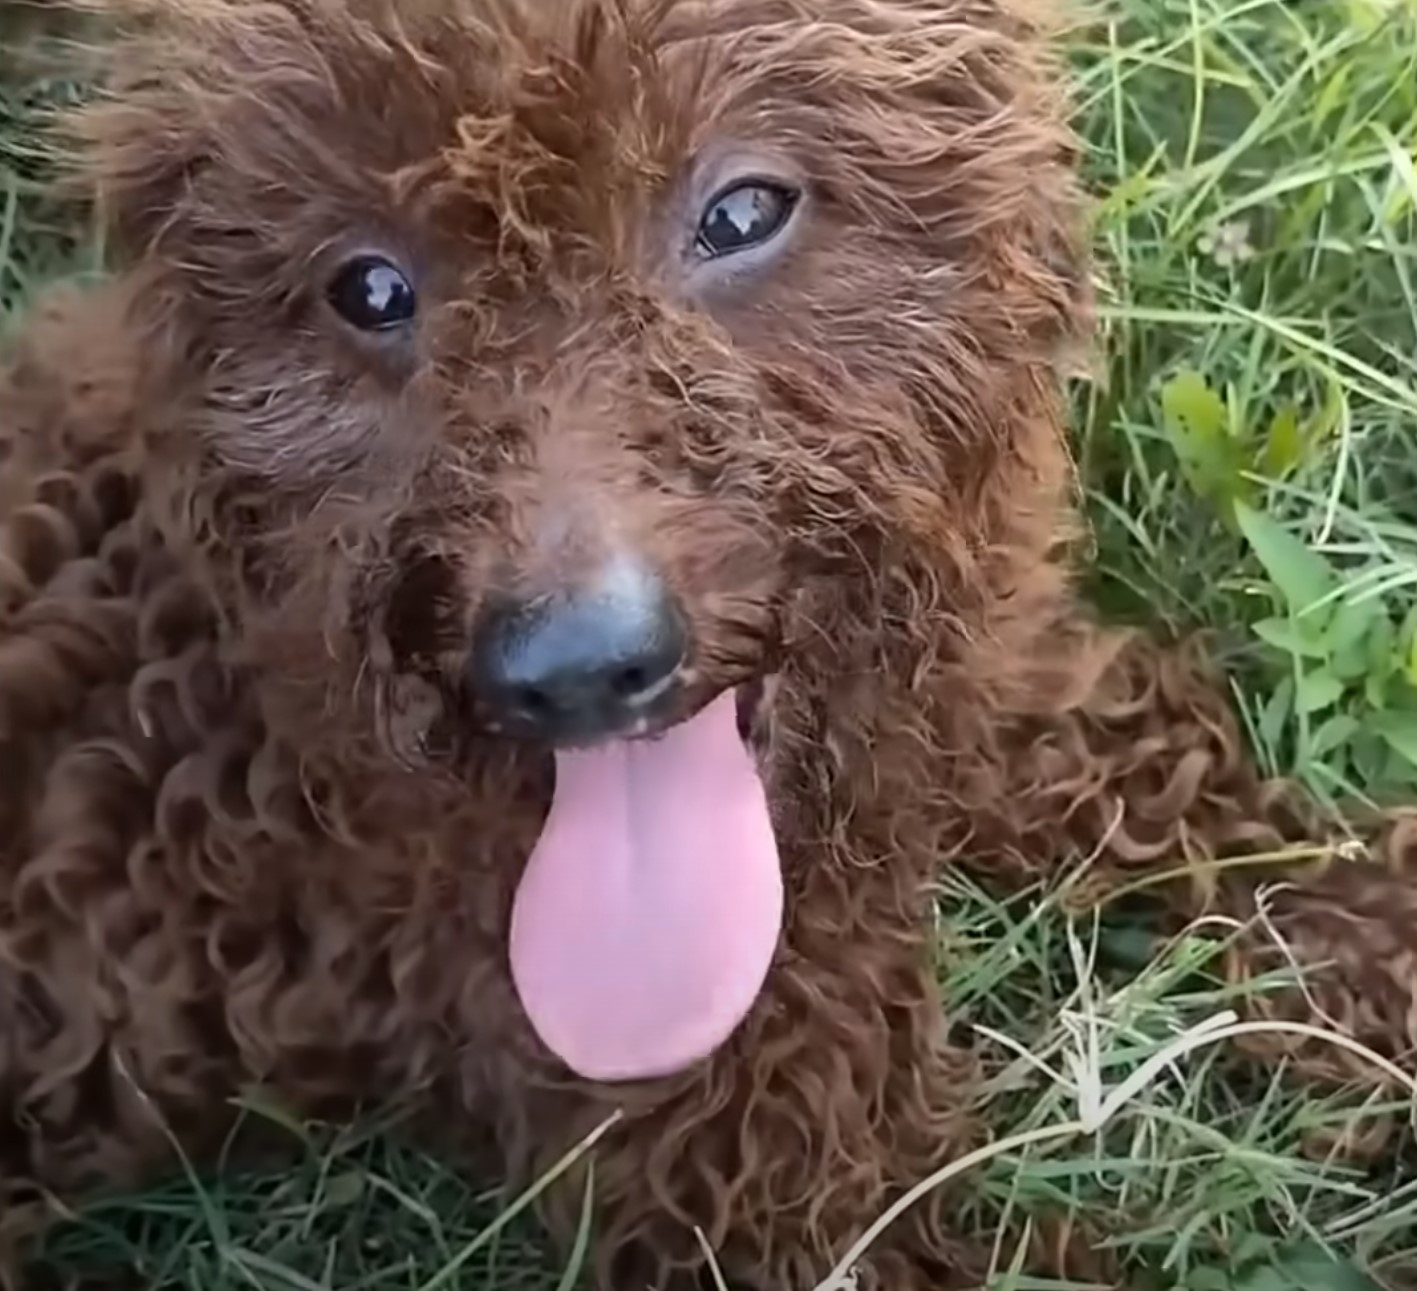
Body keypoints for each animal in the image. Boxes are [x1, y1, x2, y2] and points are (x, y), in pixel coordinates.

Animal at [2, 0, 1417, 1286]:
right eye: (368, 288)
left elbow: (1156, 761)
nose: (576, 671)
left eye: (742, 212)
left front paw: (1358, 927)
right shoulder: (766, 1173)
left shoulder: (953, 671)